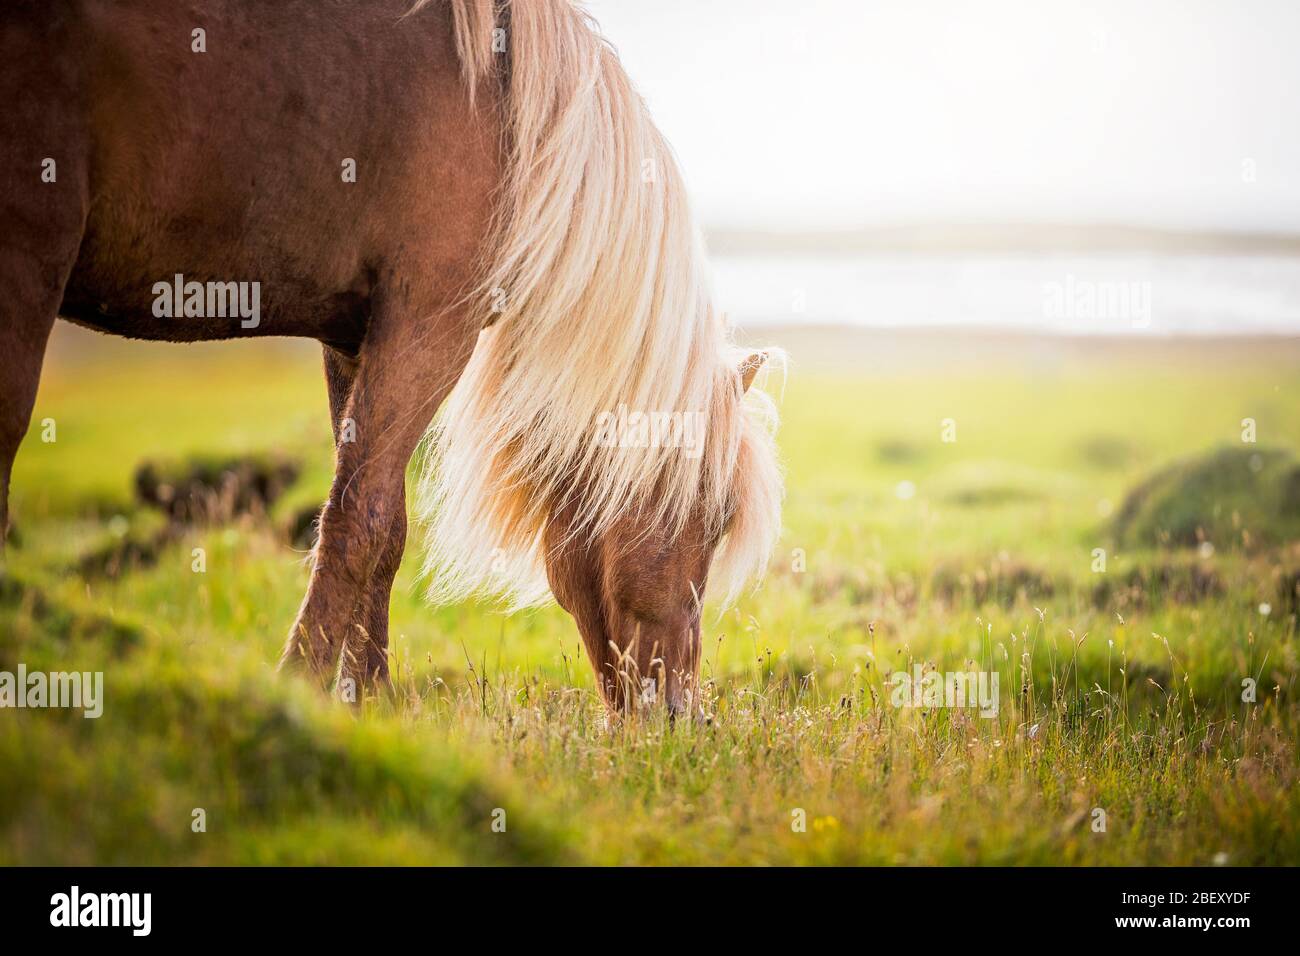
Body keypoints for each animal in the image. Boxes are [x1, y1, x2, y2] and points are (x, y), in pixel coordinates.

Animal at [0, 0, 782, 714]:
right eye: (710, 517)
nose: (681, 712)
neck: (511, 114)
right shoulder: (429, 327)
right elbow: (360, 520)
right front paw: (300, 689)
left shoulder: (353, 335)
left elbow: (387, 526)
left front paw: (367, 702)